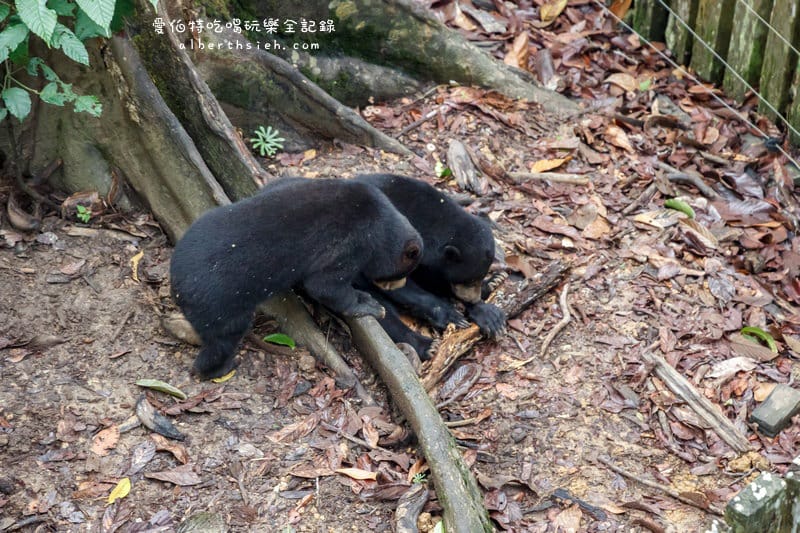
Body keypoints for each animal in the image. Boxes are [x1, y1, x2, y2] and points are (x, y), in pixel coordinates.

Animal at [170, 177, 423, 379]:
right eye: (402, 273)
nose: (398, 285)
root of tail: (177, 283)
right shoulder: (353, 243)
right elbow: (325, 285)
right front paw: (369, 304)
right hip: (220, 305)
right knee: (223, 340)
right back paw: (222, 367)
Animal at [354, 173, 506, 359]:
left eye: (478, 277)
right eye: (468, 280)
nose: (473, 298)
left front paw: (489, 312)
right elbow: (399, 288)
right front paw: (451, 315)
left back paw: (495, 280)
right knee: (383, 312)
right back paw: (428, 345)